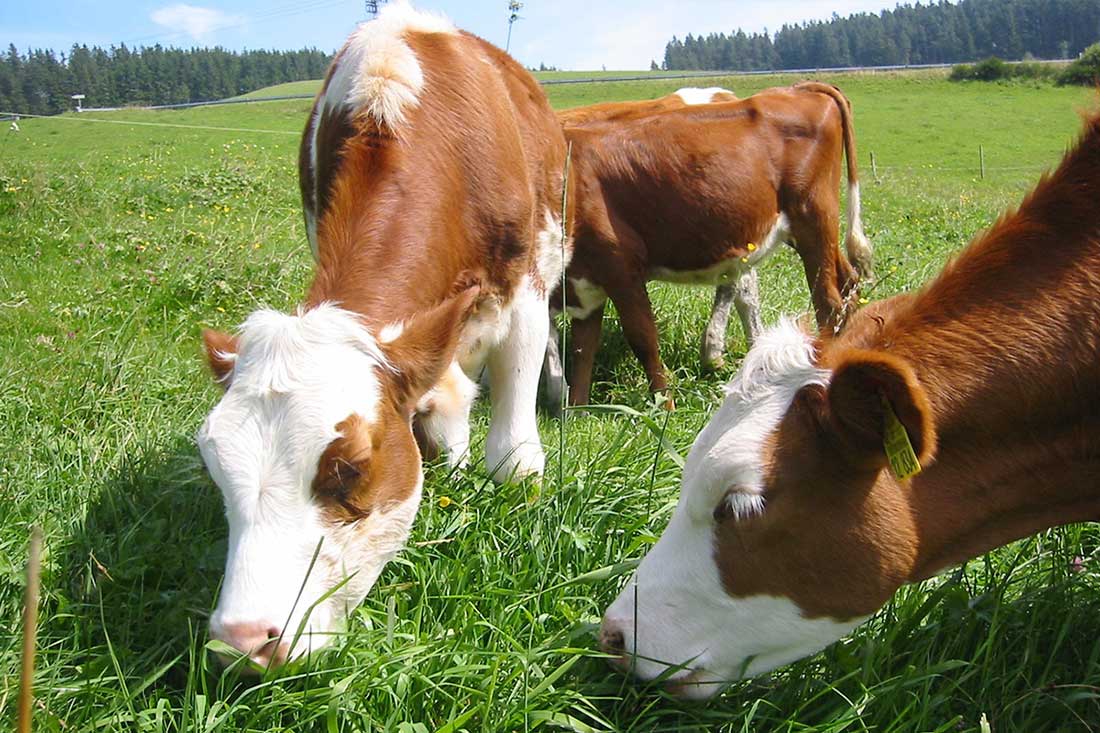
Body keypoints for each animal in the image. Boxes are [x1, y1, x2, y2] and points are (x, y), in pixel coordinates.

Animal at [554, 83, 873, 408]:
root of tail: (795, 88)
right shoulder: (583, 286)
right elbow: (577, 350)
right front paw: (572, 409)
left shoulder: (622, 268)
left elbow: (642, 338)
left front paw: (664, 406)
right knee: (846, 284)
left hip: (813, 219)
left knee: (828, 304)